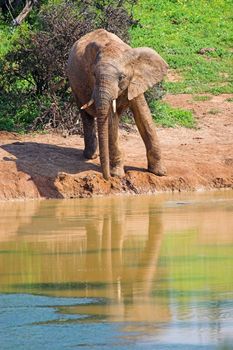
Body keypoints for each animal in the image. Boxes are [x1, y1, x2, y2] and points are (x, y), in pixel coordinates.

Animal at [67, 29, 167, 180]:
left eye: (121, 77)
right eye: (94, 75)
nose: (106, 177)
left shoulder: (135, 81)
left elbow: (143, 115)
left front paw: (159, 172)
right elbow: (111, 120)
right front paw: (117, 175)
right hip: (74, 84)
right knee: (85, 115)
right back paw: (91, 156)